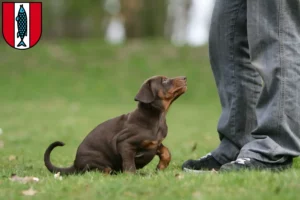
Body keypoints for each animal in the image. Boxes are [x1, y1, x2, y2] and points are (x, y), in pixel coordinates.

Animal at [44, 76, 186, 174]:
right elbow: (129, 165)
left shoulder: (156, 143)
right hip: (98, 161)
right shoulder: (125, 143)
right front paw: (132, 176)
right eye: (164, 81)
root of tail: (75, 164)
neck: (156, 117)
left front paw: (161, 166)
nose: (185, 77)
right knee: (102, 171)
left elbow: (166, 152)